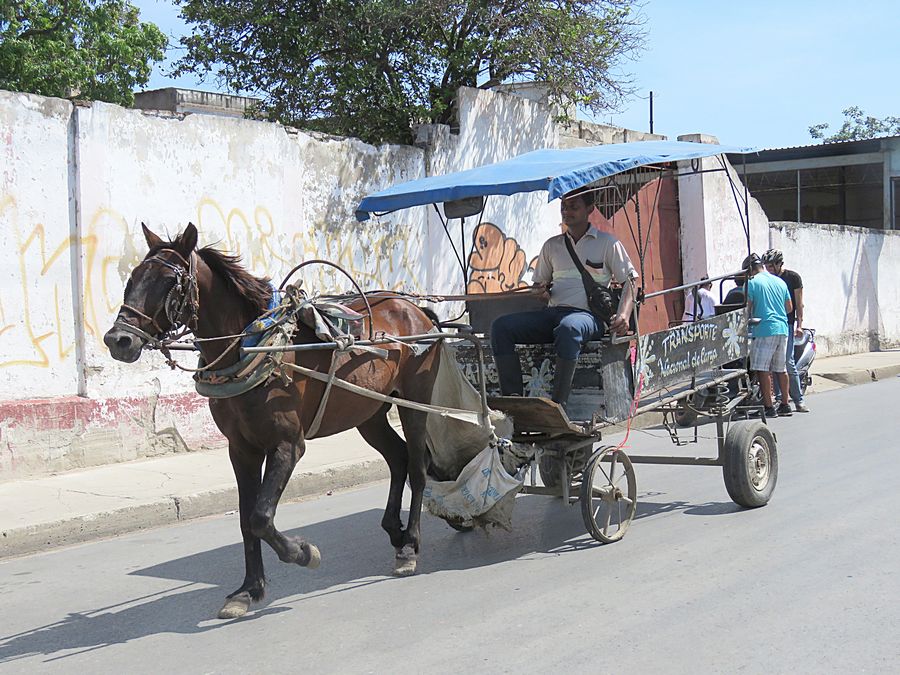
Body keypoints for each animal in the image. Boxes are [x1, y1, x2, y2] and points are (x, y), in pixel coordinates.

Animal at [101, 224, 442, 620]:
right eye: (133, 277)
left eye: (171, 281)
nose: (118, 340)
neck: (253, 347)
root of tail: (416, 308)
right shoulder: (241, 449)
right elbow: (246, 520)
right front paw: (248, 590)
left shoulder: (288, 445)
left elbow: (261, 516)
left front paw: (302, 553)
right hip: (368, 411)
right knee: (398, 458)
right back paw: (395, 532)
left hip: (415, 401)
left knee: (418, 466)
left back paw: (410, 547)